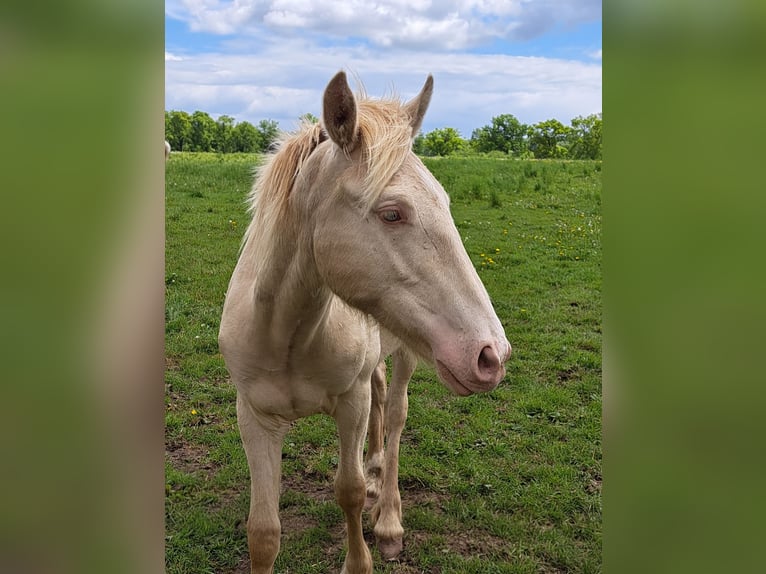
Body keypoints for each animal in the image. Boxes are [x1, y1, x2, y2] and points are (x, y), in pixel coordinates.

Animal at [218, 71, 511, 574]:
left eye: (444, 202)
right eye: (392, 212)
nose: (491, 354)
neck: (286, 335)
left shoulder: (349, 404)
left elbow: (349, 492)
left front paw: (363, 554)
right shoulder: (254, 416)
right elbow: (263, 531)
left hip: (411, 352)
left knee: (394, 414)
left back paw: (389, 516)